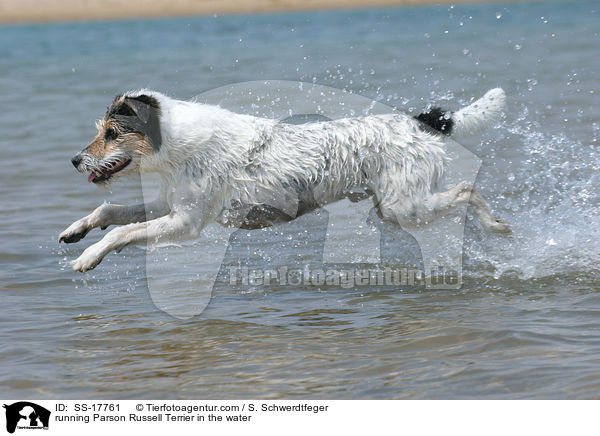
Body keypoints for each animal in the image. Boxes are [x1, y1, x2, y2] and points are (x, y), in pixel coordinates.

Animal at [59, 86, 510, 270]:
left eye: (112, 133)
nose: (75, 160)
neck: (175, 144)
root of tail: (417, 122)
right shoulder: (167, 205)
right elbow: (110, 210)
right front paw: (76, 230)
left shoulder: (185, 223)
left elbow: (120, 233)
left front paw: (89, 256)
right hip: (396, 206)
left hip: (405, 207)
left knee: (468, 189)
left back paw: (496, 226)